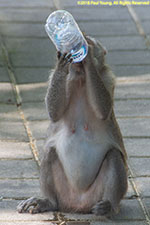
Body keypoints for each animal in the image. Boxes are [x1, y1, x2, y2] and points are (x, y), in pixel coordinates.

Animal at [17, 36, 127, 216]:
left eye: (92, 41)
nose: (82, 39)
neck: (81, 80)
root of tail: (78, 205)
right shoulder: (55, 78)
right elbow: (54, 112)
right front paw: (62, 61)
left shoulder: (108, 79)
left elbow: (104, 109)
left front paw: (87, 56)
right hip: (63, 192)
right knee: (50, 152)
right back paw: (48, 201)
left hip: (95, 195)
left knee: (113, 155)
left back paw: (108, 205)